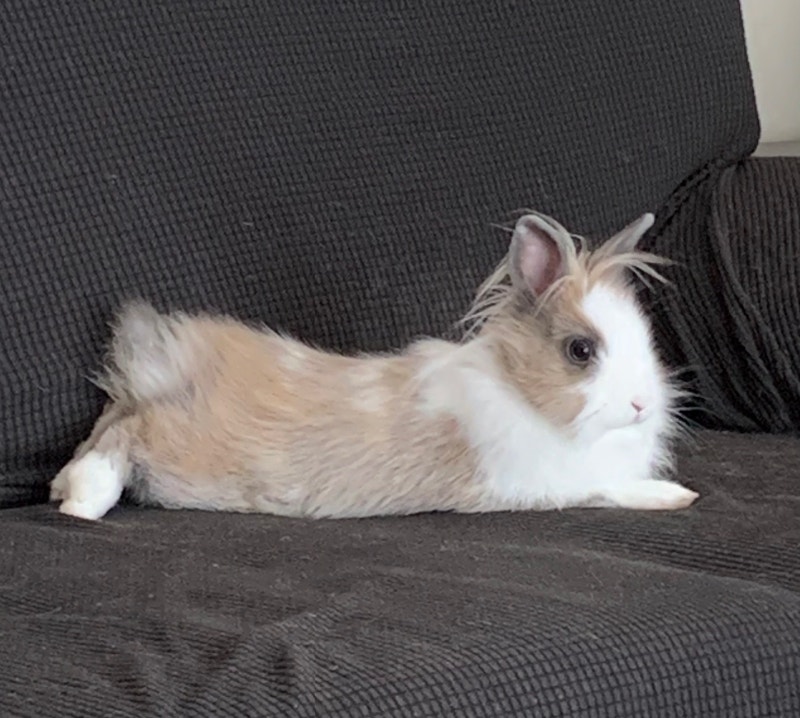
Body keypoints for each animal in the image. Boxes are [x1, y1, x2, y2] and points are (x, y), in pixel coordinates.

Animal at [50, 210, 698, 521]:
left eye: (645, 337)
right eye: (580, 350)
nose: (642, 404)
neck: (521, 394)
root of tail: (165, 363)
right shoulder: (540, 482)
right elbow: (607, 488)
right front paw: (674, 495)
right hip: (179, 447)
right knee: (124, 436)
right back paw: (82, 503)